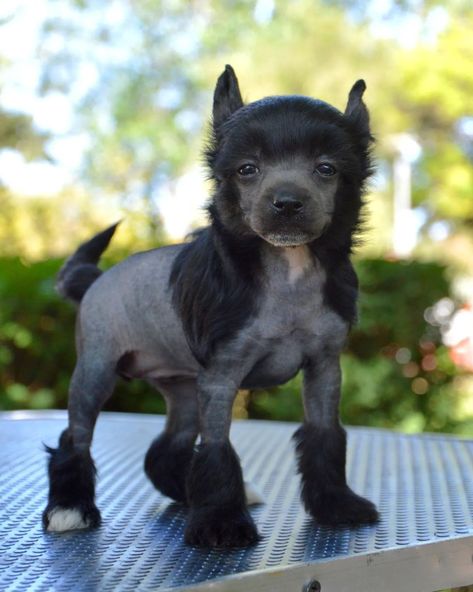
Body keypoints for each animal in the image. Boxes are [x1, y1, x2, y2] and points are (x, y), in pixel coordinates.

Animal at [42, 65, 378, 544]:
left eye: (326, 169)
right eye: (247, 169)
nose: (287, 203)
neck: (287, 269)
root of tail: (97, 279)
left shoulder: (324, 368)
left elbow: (324, 434)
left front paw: (336, 504)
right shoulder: (221, 376)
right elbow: (217, 448)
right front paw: (221, 522)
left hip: (182, 387)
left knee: (167, 449)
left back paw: (186, 493)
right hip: (95, 372)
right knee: (76, 437)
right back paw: (70, 507)